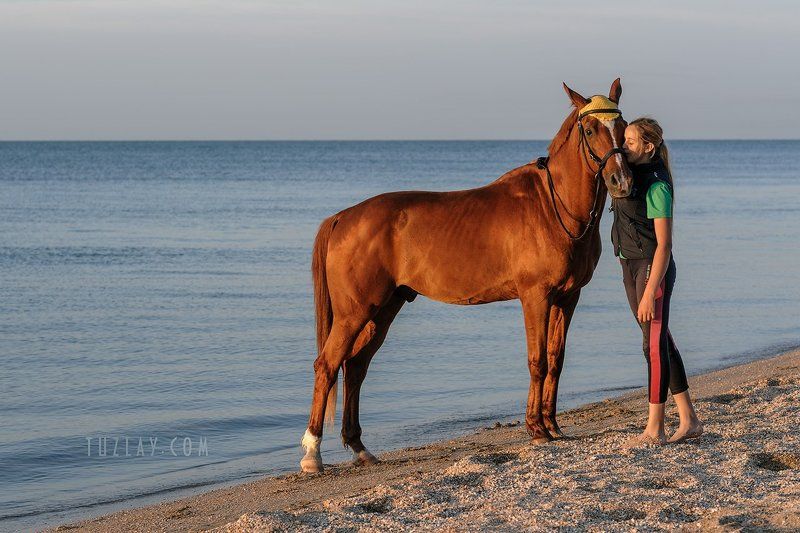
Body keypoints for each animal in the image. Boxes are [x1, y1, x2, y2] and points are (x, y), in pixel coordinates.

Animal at [300, 79, 633, 473]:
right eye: (590, 129)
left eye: (622, 125)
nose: (621, 180)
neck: (553, 207)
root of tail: (342, 217)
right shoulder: (535, 297)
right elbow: (537, 360)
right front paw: (536, 428)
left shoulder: (567, 298)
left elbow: (556, 360)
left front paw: (553, 426)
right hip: (355, 312)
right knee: (327, 365)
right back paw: (312, 454)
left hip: (384, 308)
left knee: (355, 367)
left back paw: (358, 446)